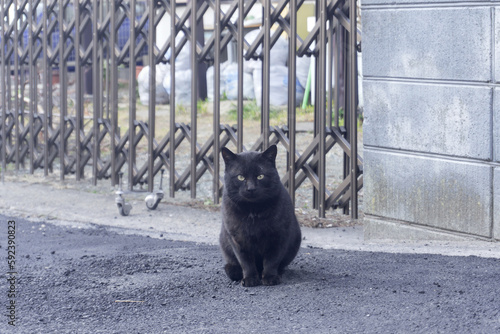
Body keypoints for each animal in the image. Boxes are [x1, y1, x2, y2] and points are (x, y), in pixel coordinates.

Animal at [219, 144, 300, 288]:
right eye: (241, 177)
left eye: (260, 176)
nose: (251, 188)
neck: (253, 211)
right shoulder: (238, 239)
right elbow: (246, 262)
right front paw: (250, 279)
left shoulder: (278, 236)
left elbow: (272, 260)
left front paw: (270, 278)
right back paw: (234, 271)